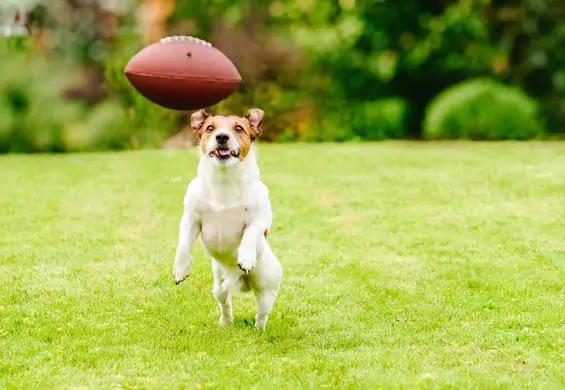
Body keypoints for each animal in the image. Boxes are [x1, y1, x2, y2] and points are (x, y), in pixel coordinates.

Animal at [173, 108, 282, 330]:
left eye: (238, 128)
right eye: (210, 128)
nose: (222, 137)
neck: (224, 182)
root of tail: (241, 281)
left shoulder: (260, 219)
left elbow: (250, 234)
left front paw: (246, 257)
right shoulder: (191, 219)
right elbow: (183, 246)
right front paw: (180, 270)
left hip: (267, 289)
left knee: (261, 314)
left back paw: (259, 330)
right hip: (218, 284)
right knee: (225, 300)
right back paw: (226, 322)